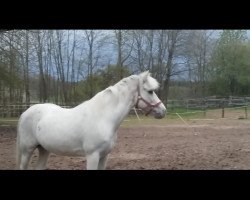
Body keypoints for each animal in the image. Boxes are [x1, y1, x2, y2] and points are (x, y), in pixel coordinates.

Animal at [16, 71, 167, 170]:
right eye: (150, 91)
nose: (163, 111)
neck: (104, 118)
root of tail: (26, 112)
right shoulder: (92, 156)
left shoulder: (104, 156)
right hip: (27, 150)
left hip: (44, 149)